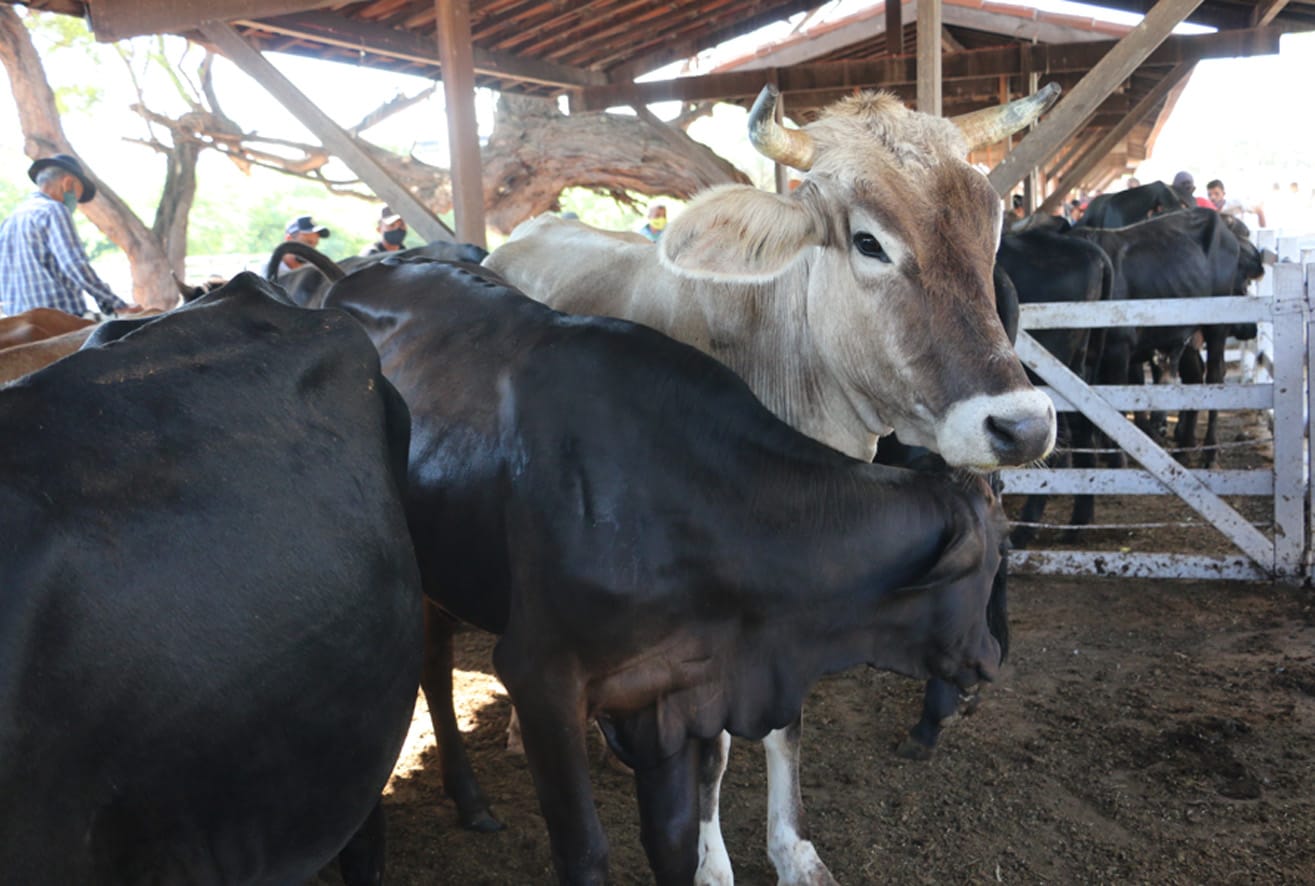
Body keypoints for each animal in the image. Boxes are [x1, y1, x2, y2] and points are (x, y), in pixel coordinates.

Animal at [320, 257, 1004, 883]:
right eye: (989, 563)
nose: (991, 659)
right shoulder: (539, 676)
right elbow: (585, 852)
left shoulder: (671, 688)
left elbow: (674, 839)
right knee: (432, 671)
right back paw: (461, 799)